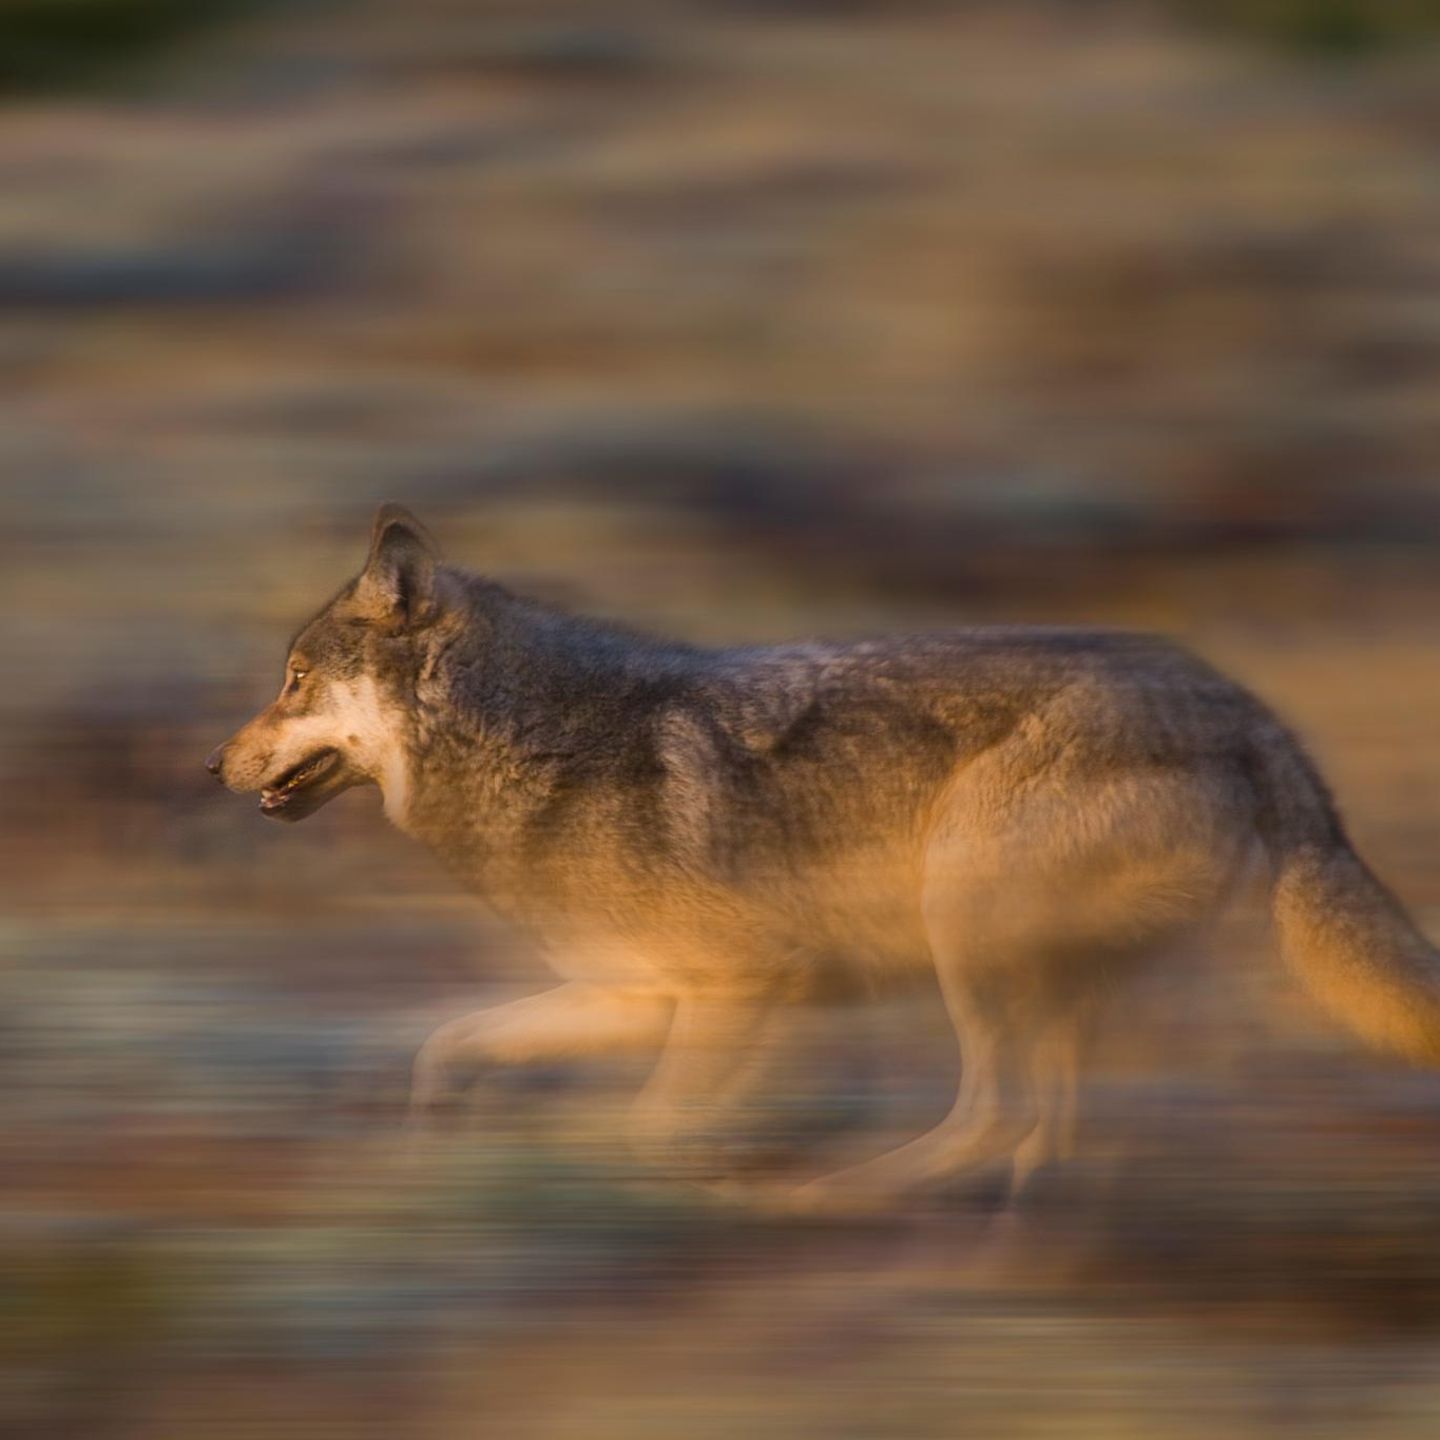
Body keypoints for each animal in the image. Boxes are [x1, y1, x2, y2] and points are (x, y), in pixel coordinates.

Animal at [207, 504, 1440, 1210]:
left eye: (294, 680)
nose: (210, 763)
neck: (538, 741)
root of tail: (1247, 709)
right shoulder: (635, 996)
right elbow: (447, 1051)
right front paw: (429, 1158)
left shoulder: (743, 984)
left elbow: (648, 1127)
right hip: (1051, 980)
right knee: (1070, 1127)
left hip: (968, 935)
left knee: (999, 1116)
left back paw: (841, 1203)